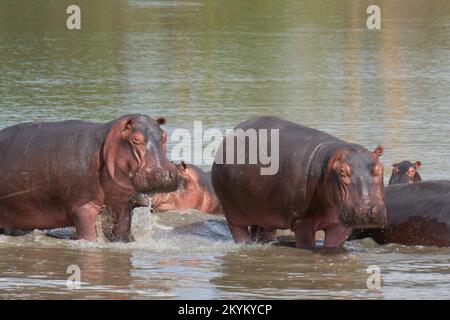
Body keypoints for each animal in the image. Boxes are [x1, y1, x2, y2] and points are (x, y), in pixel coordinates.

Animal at [0, 114, 179, 241]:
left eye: (164, 136)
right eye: (136, 139)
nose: (166, 173)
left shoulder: (123, 204)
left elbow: (122, 231)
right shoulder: (83, 207)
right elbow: (88, 237)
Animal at [211, 116, 386, 249]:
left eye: (380, 168)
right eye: (342, 171)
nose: (368, 209)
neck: (328, 166)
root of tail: (229, 136)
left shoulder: (340, 226)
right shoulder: (303, 222)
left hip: (263, 211)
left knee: (262, 231)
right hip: (233, 214)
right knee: (239, 232)